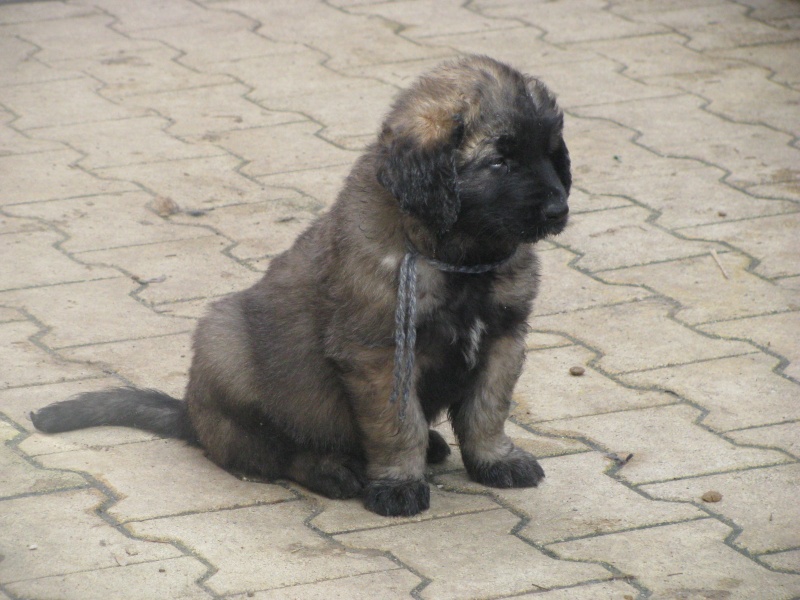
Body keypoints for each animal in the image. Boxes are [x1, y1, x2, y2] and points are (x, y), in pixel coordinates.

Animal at [31, 56, 568, 516]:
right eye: (500, 161)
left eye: (551, 154)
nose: (558, 210)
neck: (462, 258)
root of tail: (192, 417)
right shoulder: (379, 351)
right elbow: (399, 426)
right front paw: (398, 483)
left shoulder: (504, 336)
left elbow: (487, 410)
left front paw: (496, 460)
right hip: (228, 351)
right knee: (275, 455)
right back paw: (333, 471)